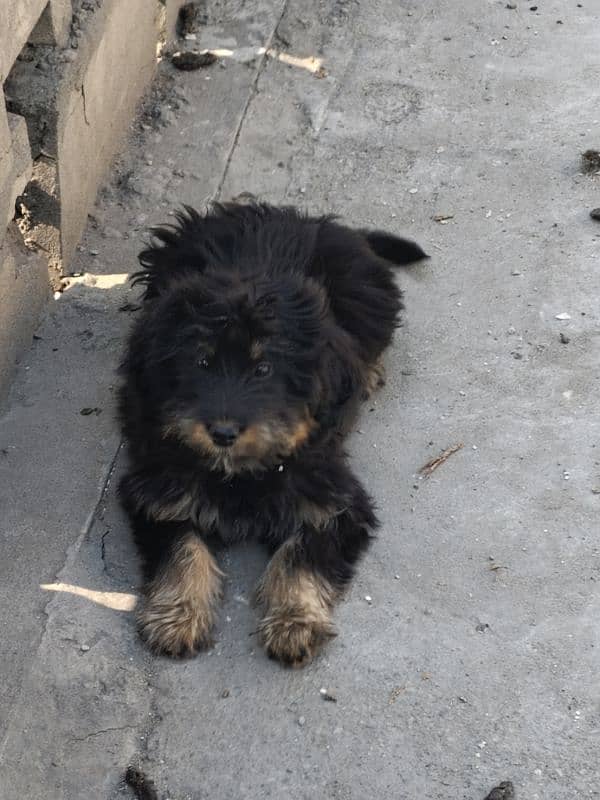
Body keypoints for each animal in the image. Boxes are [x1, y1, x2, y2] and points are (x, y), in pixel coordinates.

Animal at [117, 202, 426, 668]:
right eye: (201, 362)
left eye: (264, 369)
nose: (222, 433)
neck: (241, 473)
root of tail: (297, 216)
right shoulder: (159, 492)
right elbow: (182, 549)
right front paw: (177, 617)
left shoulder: (333, 501)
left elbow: (300, 557)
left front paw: (294, 623)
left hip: (368, 297)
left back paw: (368, 372)